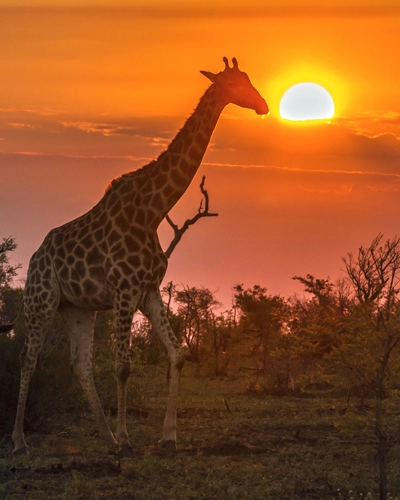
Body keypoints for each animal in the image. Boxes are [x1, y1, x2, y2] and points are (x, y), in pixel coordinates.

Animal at [7, 57, 268, 458]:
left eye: (249, 79)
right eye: (235, 84)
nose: (263, 105)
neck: (152, 210)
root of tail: (35, 257)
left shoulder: (149, 291)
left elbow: (177, 355)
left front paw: (168, 437)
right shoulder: (124, 291)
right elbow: (123, 367)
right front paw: (129, 438)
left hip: (77, 307)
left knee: (79, 363)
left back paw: (107, 437)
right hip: (42, 299)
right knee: (28, 357)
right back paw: (21, 441)